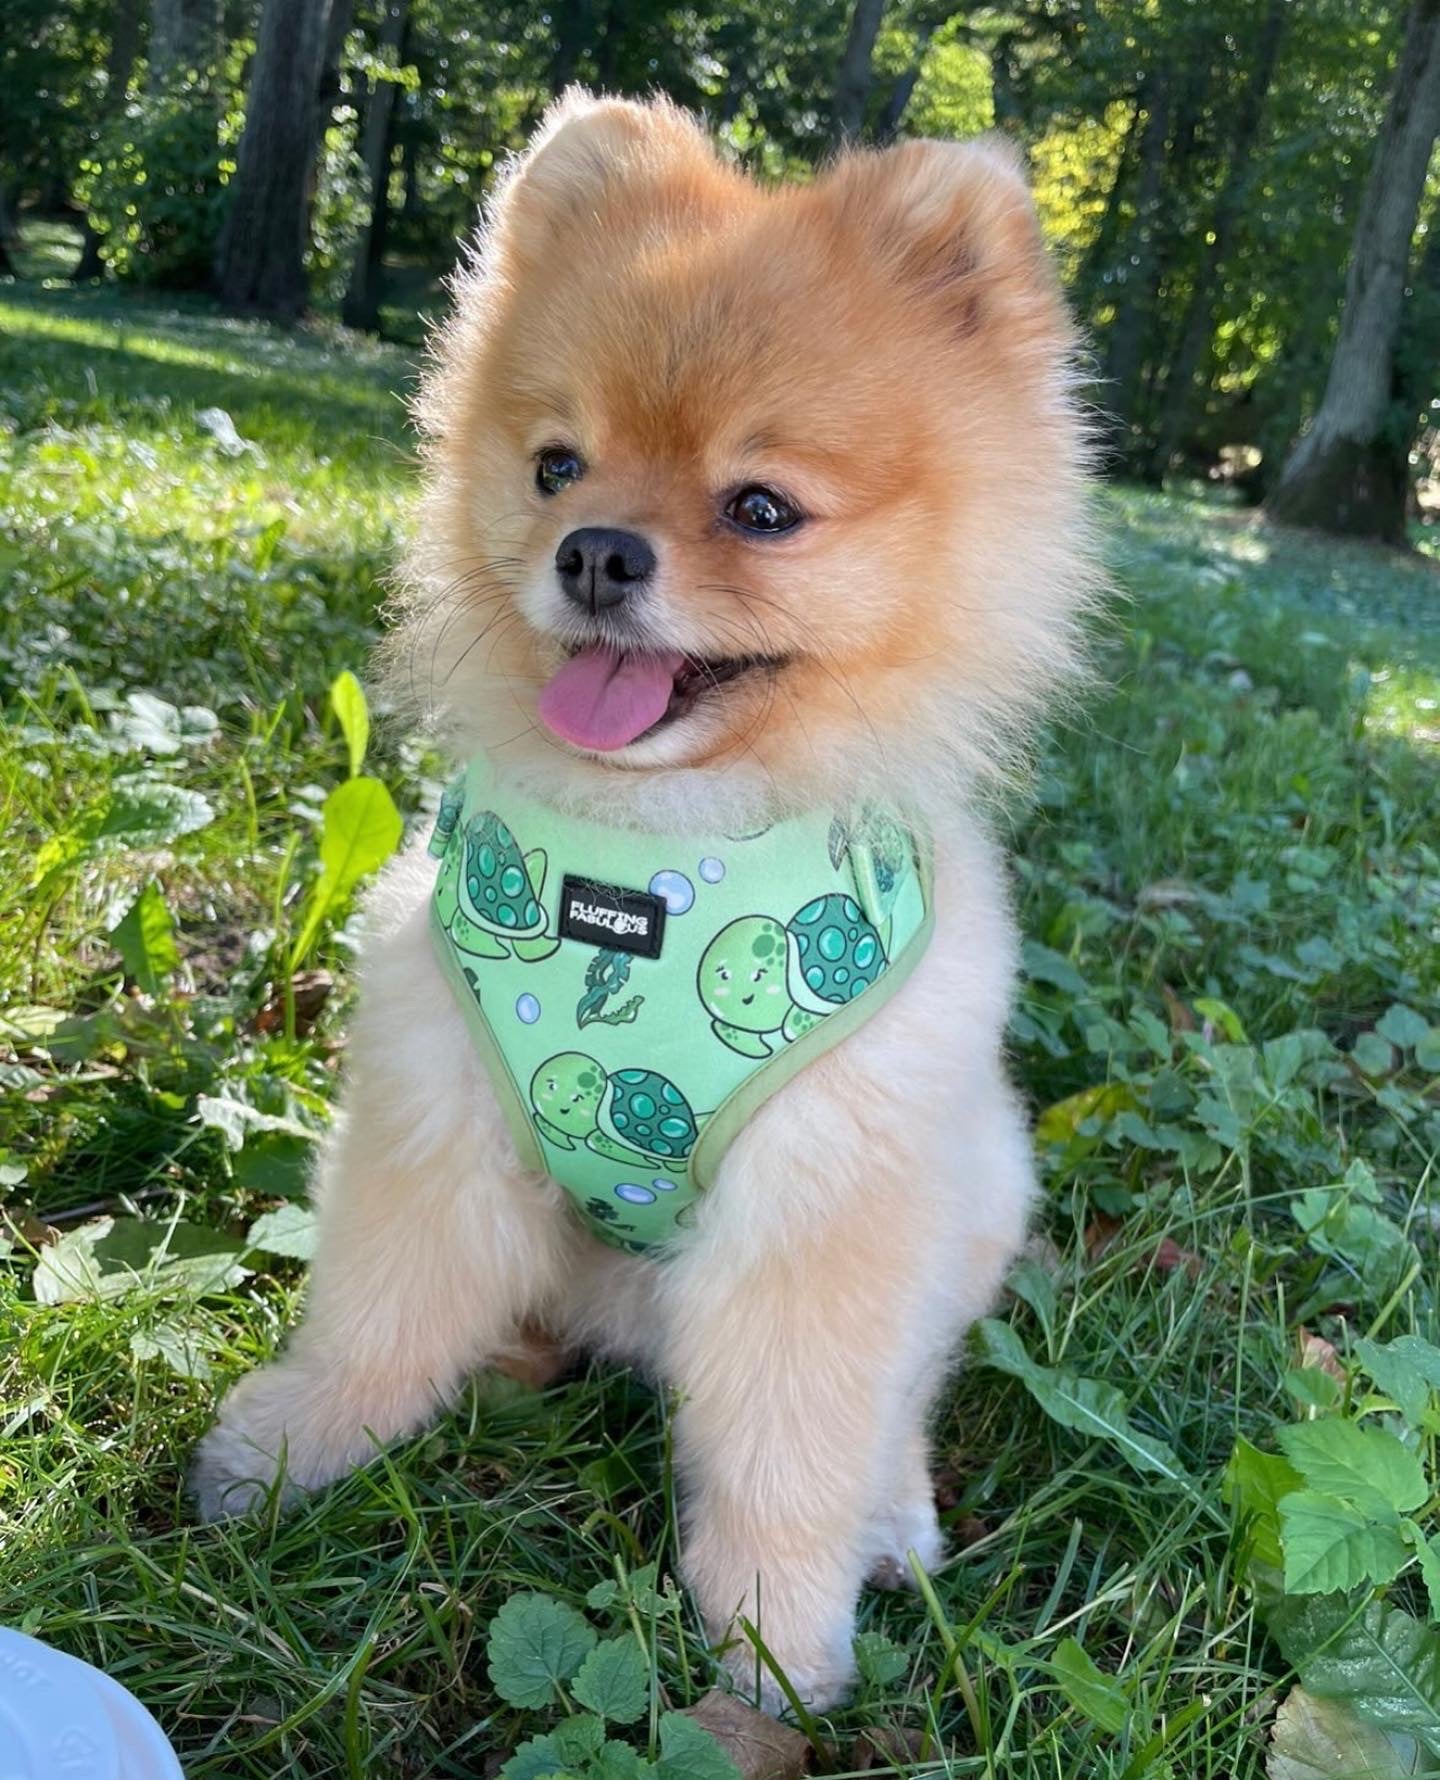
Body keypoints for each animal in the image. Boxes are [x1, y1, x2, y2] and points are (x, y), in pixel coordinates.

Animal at [187, 93, 1089, 1708]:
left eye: (762, 507)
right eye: (557, 466)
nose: (597, 550)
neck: (657, 848)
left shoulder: (822, 1208)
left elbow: (794, 1436)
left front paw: (773, 1638)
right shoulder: (439, 1105)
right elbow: (381, 1302)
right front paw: (301, 1442)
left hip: (972, 1184)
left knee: (900, 1393)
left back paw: (889, 1515)